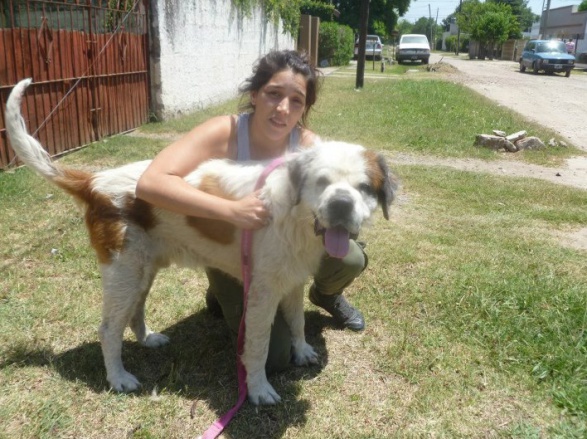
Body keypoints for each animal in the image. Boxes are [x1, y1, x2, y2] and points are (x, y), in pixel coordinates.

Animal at [5, 78, 397, 405]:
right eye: (321, 182)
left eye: (364, 187)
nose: (341, 204)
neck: (294, 215)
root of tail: (95, 180)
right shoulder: (262, 292)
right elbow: (258, 346)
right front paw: (258, 389)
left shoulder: (293, 279)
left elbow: (298, 320)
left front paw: (301, 350)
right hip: (123, 272)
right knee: (108, 329)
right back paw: (118, 378)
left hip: (143, 270)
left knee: (135, 310)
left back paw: (147, 339)